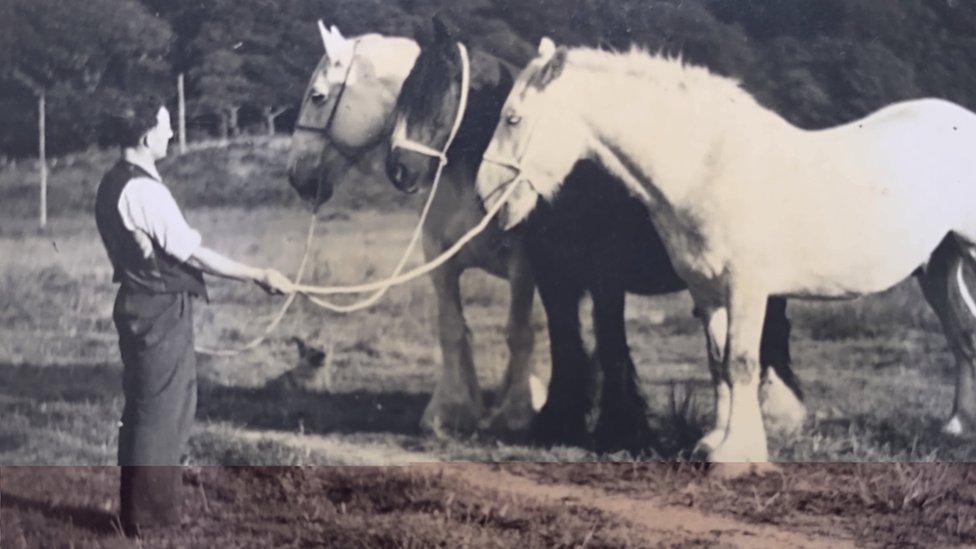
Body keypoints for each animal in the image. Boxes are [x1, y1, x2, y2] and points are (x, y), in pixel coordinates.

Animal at [286, 23, 544, 436]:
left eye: (318, 96)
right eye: (402, 96)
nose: (296, 174)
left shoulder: (523, 265)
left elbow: (518, 332)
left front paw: (516, 413)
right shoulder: (439, 257)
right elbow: (453, 329)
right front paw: (452, 409)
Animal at [476, 37, 976, 470]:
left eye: (513, 118)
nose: (485, 196)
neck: (708, 166)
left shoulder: (747, 289)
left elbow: (741, 363)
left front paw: (738, 454)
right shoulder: (707, 290)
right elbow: (718, 365)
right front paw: (713, 442)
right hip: (938, 268)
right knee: (963, 333)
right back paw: (958, 425)